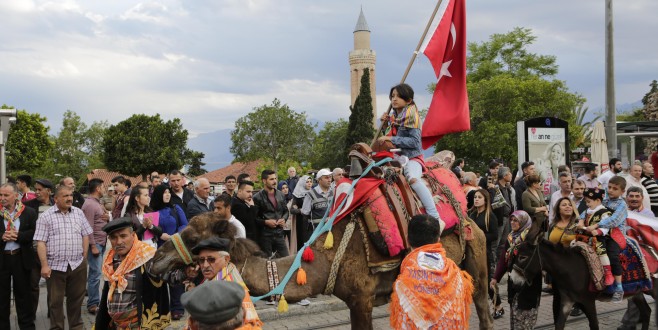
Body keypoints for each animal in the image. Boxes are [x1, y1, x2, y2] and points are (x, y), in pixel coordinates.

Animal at [150, 168, 492, 330]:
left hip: (477, 259)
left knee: (482, 305)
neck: (327, 258)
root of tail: (468, 218)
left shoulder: (362, 298)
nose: (156, 260)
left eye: (194, 236)